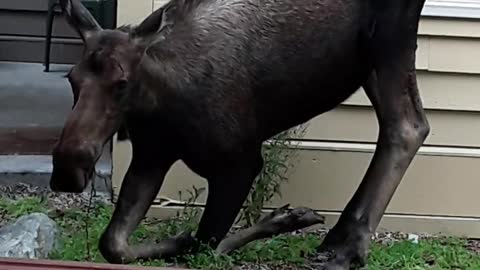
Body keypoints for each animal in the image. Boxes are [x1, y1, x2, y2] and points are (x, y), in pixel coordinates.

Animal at [49, 0, 432, 268]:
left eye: (122, 83)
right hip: (367, 59)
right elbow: (113, 244)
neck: (159, 106)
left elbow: (203, 245)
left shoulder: (240, 164)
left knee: (408, 125)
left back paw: (345, 247)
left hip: (390, 35)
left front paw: (282, 220)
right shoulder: (150, 156)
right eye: (71, 78)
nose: (68, 168)